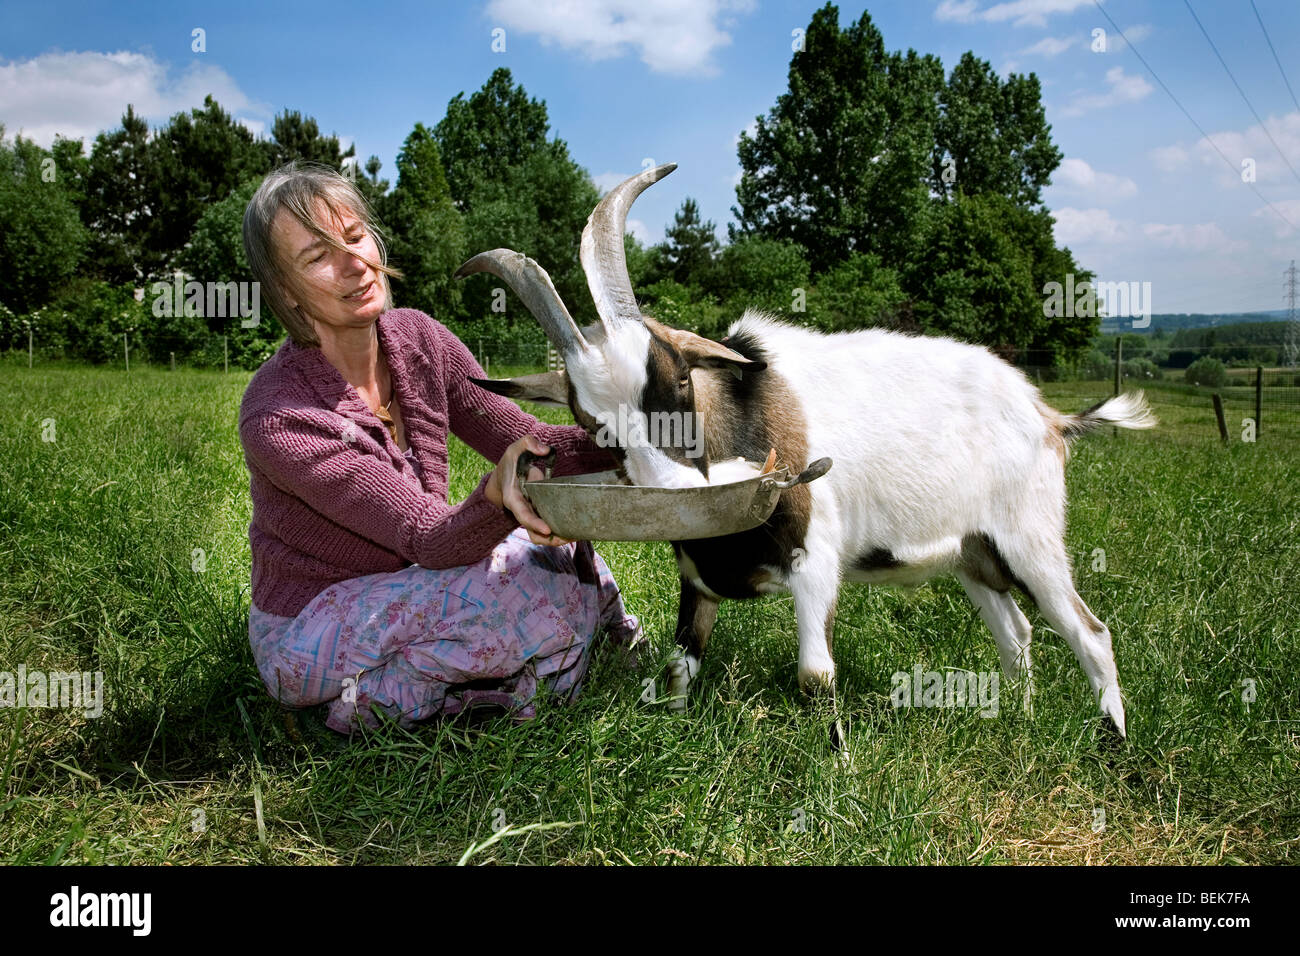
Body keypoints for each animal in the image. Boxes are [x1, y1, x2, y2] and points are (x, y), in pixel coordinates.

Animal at [460, 162, 1159, 738]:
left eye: (680, 377)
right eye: (590, 424)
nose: (679, 494)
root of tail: (1047, 414)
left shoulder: (815, 558)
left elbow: (815, 677)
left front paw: (839, 766)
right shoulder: (697, 573)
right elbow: (680, 667)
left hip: (1029, 537)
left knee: (1090, 632)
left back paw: (1113, 738)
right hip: (973, 550)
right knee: (1016, 633)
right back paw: (1019, 716)